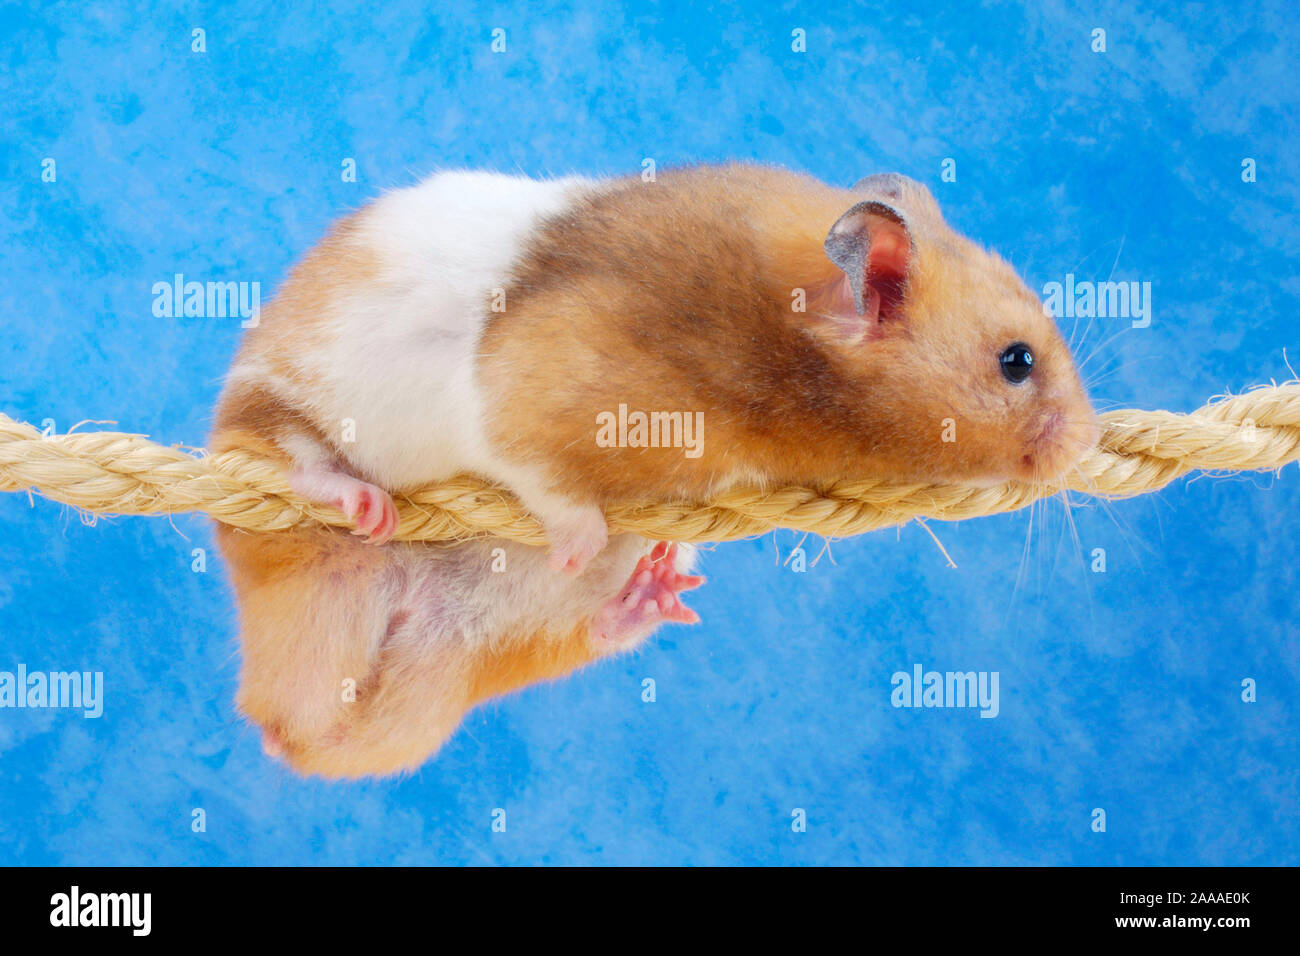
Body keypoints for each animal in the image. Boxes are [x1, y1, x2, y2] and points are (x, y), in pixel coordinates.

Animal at [210, 163, 1098, 778]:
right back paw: (360, 503)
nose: (1088, 443)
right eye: (1017, 362)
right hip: (269, 415)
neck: (778, 348)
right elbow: (542, 475)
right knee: (273, 448)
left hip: (481, 635)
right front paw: (574, 537)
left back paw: (653, 592)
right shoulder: (532, 389)